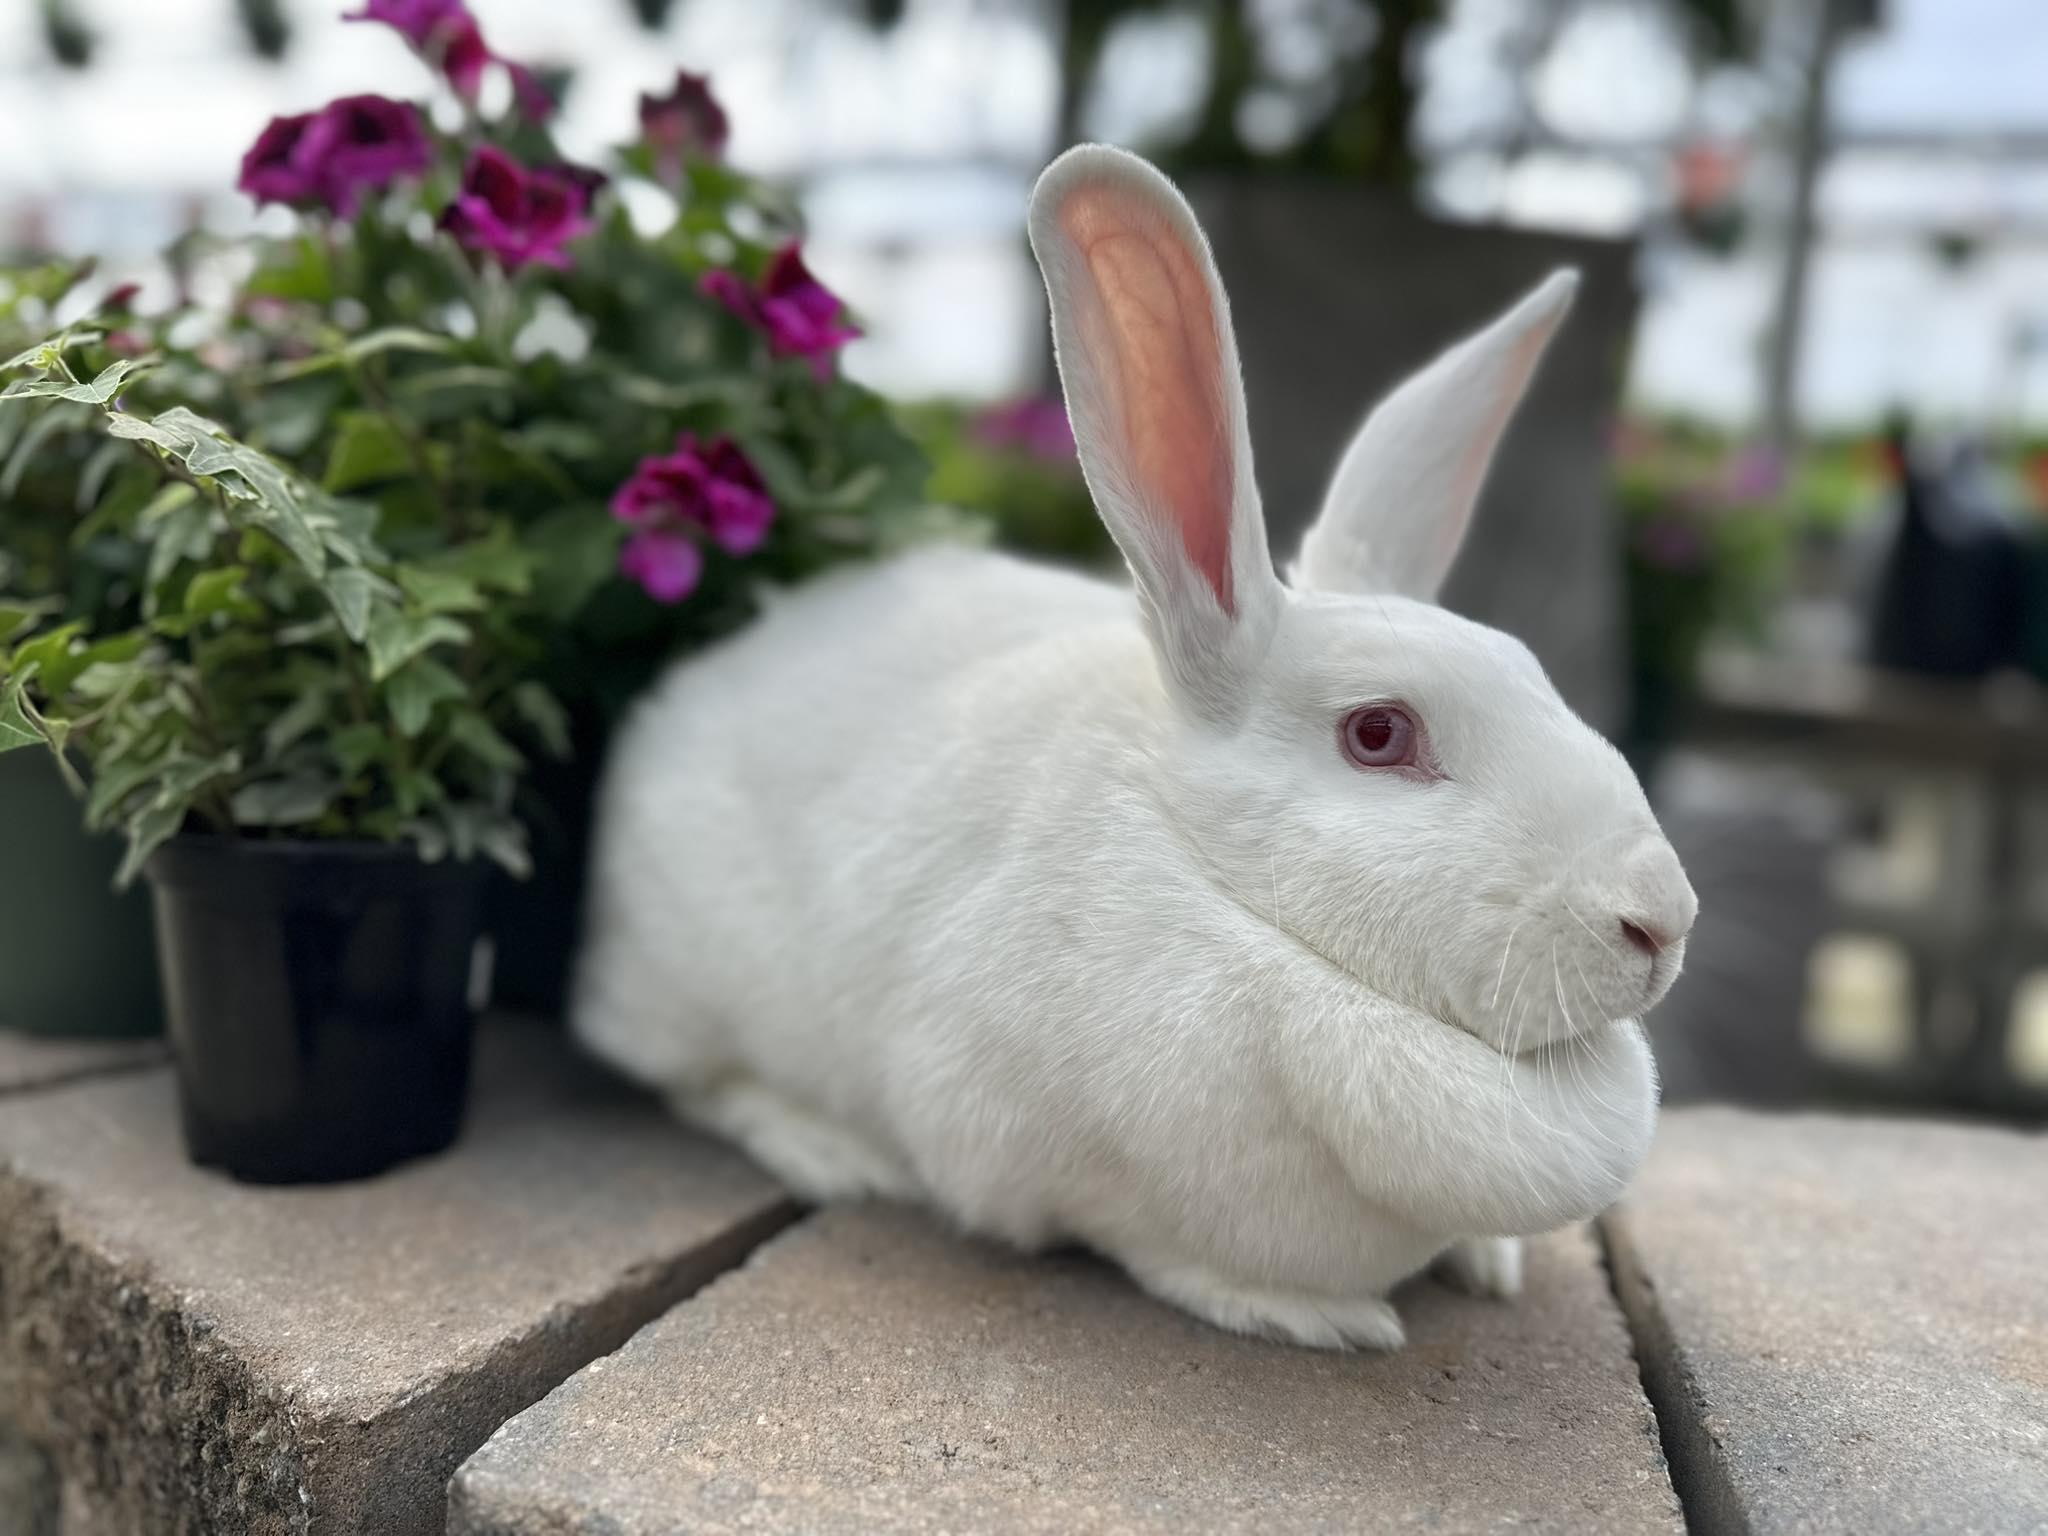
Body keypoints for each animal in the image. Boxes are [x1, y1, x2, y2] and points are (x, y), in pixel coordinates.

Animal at [573, 144, 1697, 1351]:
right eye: (1378, 733)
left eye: (1531, 669)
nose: (1659, 921)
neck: (1229, 895)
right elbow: (1149, 1247)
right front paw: (1312, 1315)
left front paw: (1488, 1263)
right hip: (688, 983)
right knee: (696, 1079)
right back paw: (824, 1147)